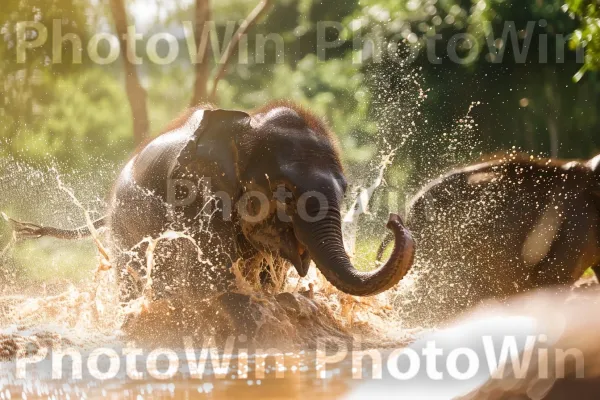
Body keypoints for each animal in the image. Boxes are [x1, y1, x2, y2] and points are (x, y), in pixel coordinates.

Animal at [7, 103, 414, 300]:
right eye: (283, 190)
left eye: (345, 191)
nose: (394, 219)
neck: (245, 124)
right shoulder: (193, 199)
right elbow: (211, 276)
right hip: (126, 228)